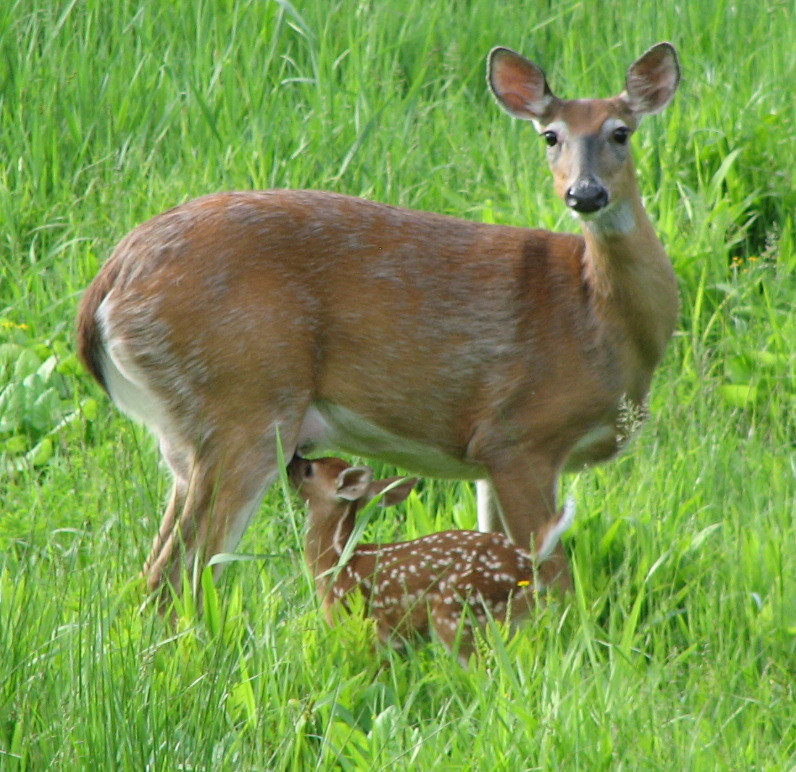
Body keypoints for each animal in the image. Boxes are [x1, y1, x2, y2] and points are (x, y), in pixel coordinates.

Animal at [77, 42, 680, 600]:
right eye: (550, 136)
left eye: (621, 132)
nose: (585, 193)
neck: (599, 320)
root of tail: (107, 290)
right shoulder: (519, 433)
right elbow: (552, 579)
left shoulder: (489, 457)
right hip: (242, 404)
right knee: (175, 574)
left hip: (185, 435)